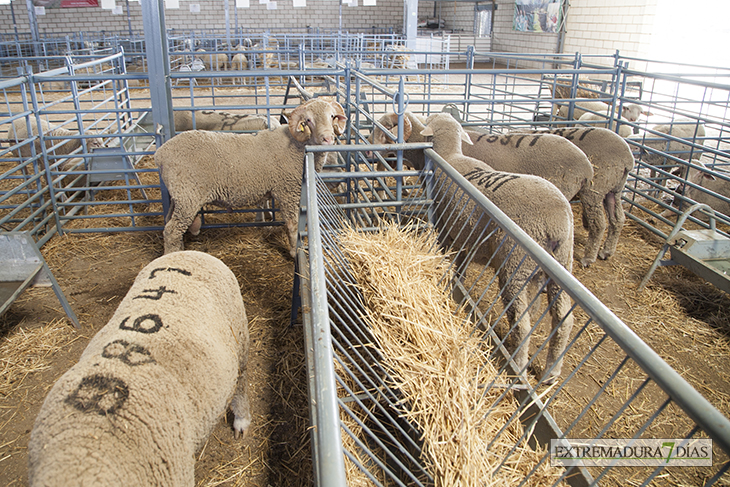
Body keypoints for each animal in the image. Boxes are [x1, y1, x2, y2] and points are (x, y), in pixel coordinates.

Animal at [154, 96, 346, 255]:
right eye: (308, 120)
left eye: (332, 116)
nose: (328, 138)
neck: (298, 146)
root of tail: (160, 153)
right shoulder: (287, 192)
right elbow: (293, 225)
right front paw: (294, 252)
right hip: (188, 197)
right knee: (171, 231)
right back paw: (171, 256)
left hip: (179, 196)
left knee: (169, 223)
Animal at [416, 112, 576, 384]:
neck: (451, 156)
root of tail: (556, 224)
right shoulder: (467, 236)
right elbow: (461, 263)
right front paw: (458, 280)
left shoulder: (449, 226)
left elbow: (450, 255)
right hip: (560, 264)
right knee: (562, 318)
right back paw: (551, 372)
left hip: (515, 264)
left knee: (522, 323)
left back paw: (518, 366)